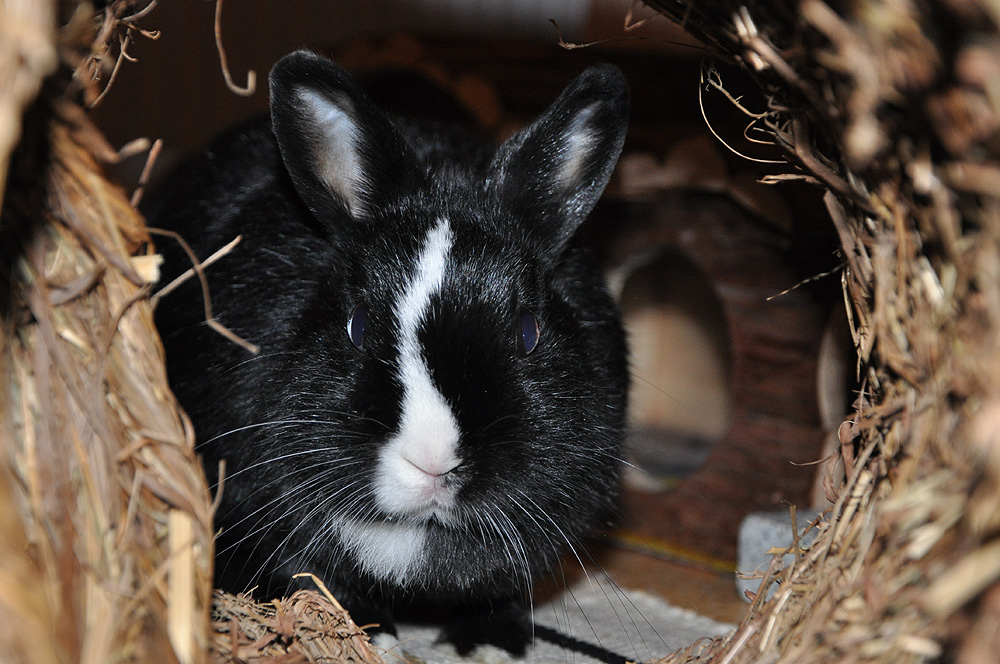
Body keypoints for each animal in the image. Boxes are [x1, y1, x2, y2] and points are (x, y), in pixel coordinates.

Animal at [152, 49, 628, 656]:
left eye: (528, 333)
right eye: (356, 326)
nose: (434, 461)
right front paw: (365, 635)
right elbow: (312, 577)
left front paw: (493, 641)